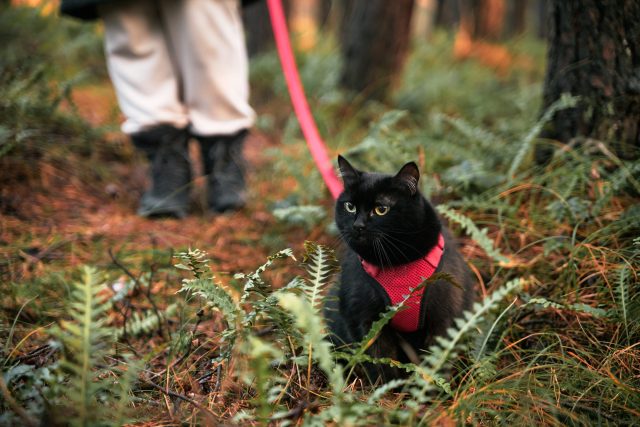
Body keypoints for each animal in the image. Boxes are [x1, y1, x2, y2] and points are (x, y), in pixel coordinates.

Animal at [324, 155, 476, 382]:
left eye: (381, 209)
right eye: (350, 206)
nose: (358, 225)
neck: (397, 263)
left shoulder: (443, 318)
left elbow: (436, 361)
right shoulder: (365, 319)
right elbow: (380, 363)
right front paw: (388, 388)